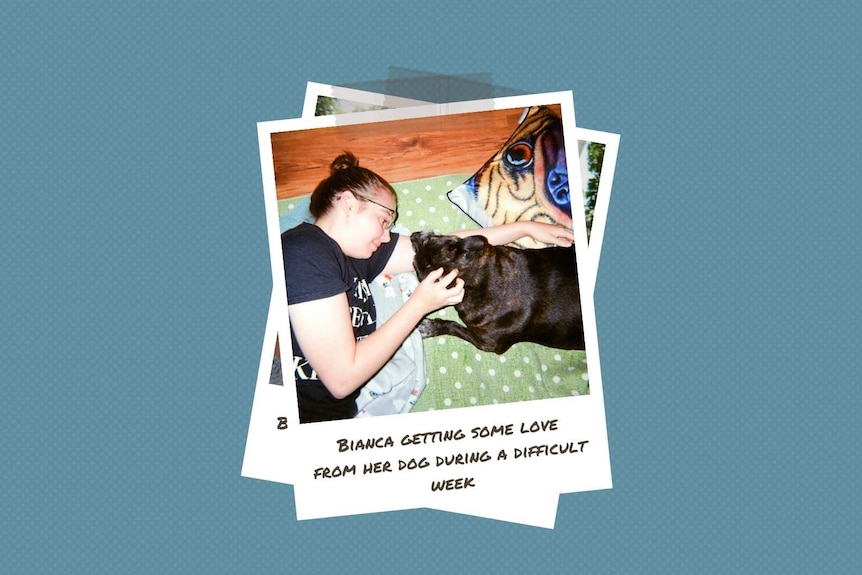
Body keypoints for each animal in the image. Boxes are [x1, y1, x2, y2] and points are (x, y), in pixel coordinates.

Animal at [412, 232, 588, 354]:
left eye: (429, 238)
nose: (413, 236)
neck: (480, 278)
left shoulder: (488, 343)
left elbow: (454, 327)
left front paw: (430, 327)